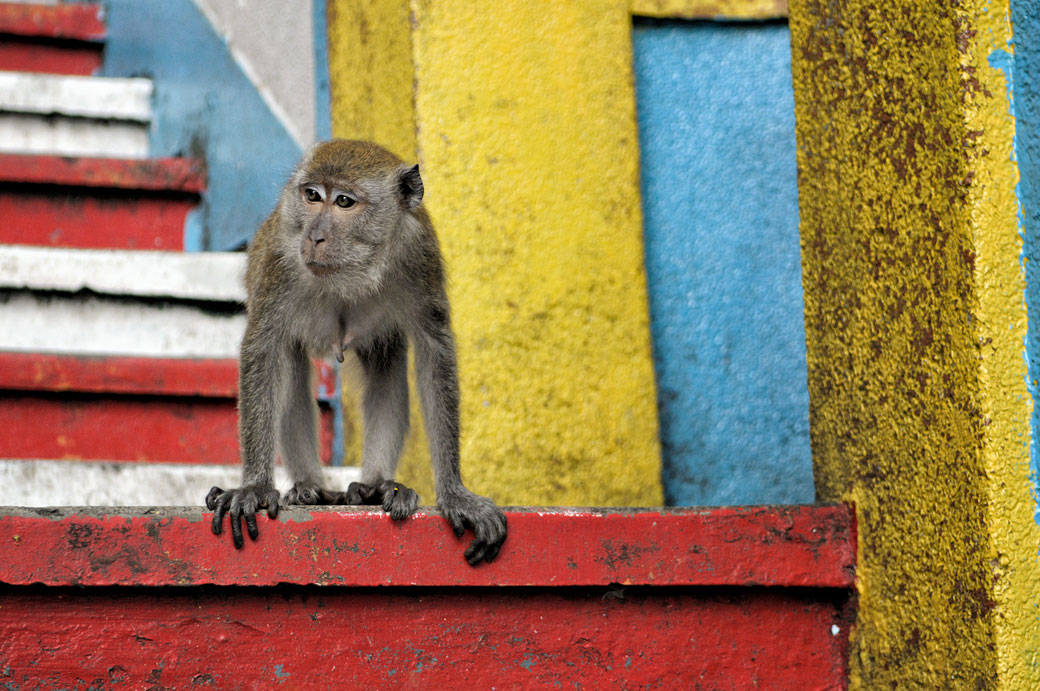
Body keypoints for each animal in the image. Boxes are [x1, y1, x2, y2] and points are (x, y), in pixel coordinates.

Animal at [204, 140, 505, 566]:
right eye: (312, 196)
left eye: (344, 202)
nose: (314, 236)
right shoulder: (278, 262)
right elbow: (263, 350)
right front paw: (256, 488)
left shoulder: (419, 255)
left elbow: (435, 354)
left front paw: (454, 493)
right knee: (290, 371)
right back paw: (310, 488)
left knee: (386, 368)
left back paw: (376, 486)